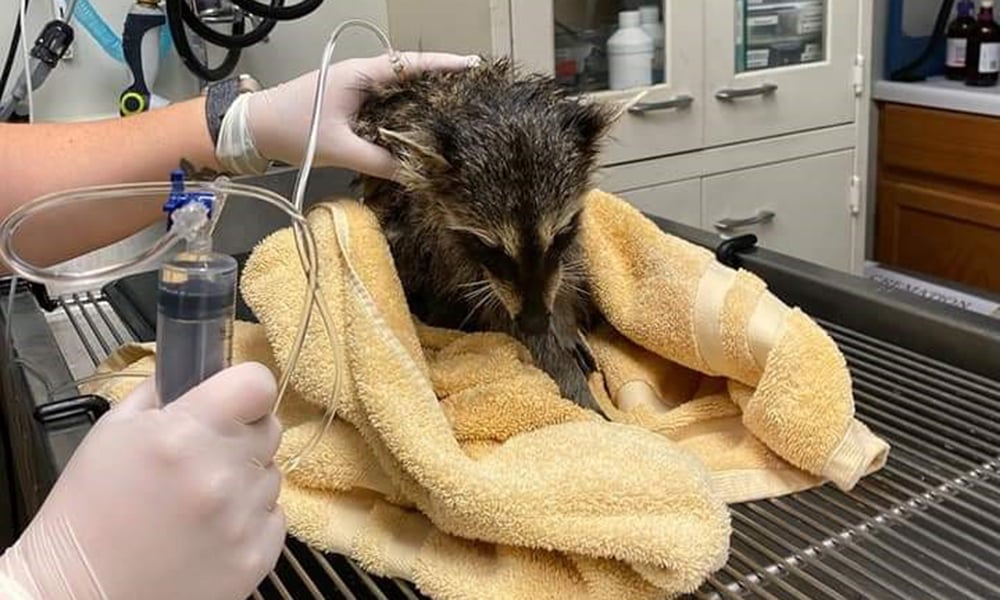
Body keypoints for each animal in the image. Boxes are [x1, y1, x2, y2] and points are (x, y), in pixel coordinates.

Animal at [352, 57, 616, 412]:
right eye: (490, 247)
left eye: (558, 236)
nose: (535, 321)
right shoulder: (443, 240)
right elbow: (497, 309)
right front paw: (570, 381)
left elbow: (564, 272)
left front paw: (563, 319)